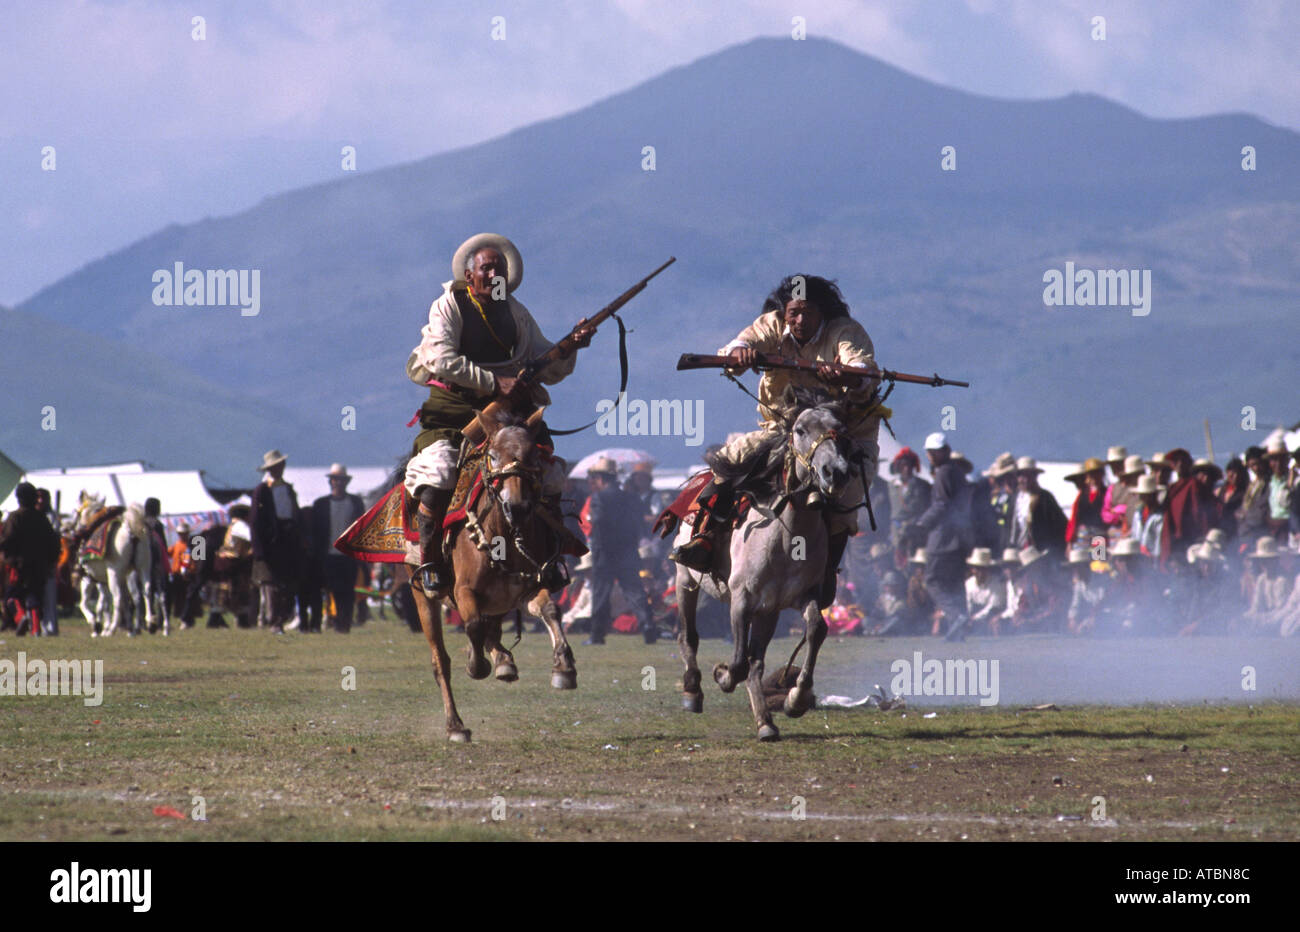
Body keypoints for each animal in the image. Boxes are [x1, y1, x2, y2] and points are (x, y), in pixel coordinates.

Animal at [73, 491, 161, 636]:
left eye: (78, 512)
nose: (77, 528)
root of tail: (131, 530)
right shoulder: (118, 579)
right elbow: (120, 602)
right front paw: (129, 628)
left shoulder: (89, 578)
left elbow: (84, 604)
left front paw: (96, 624)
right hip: (143, 568)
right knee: (146, 592)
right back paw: (149, 624)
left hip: (113, 575)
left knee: (118, 599)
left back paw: (111, 629)